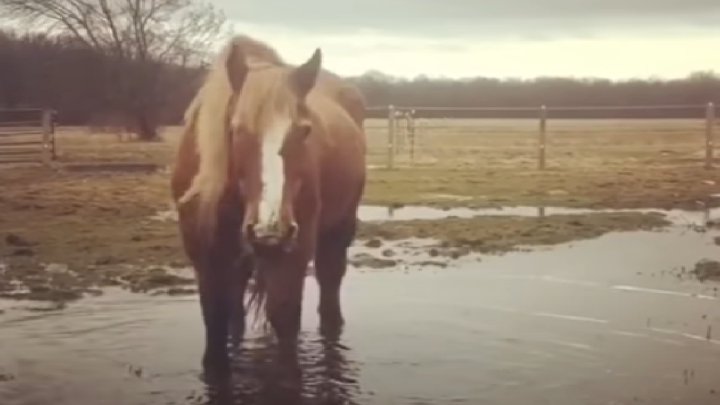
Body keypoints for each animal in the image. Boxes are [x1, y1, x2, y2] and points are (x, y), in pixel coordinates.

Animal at [170, 33, 366, 378]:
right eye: (235, 129)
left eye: (305, 130)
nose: (270, 231)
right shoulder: (206, 261)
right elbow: (215, 325)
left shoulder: (291, 257)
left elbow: (285, 323)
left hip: (337, 233)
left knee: (330, 289)